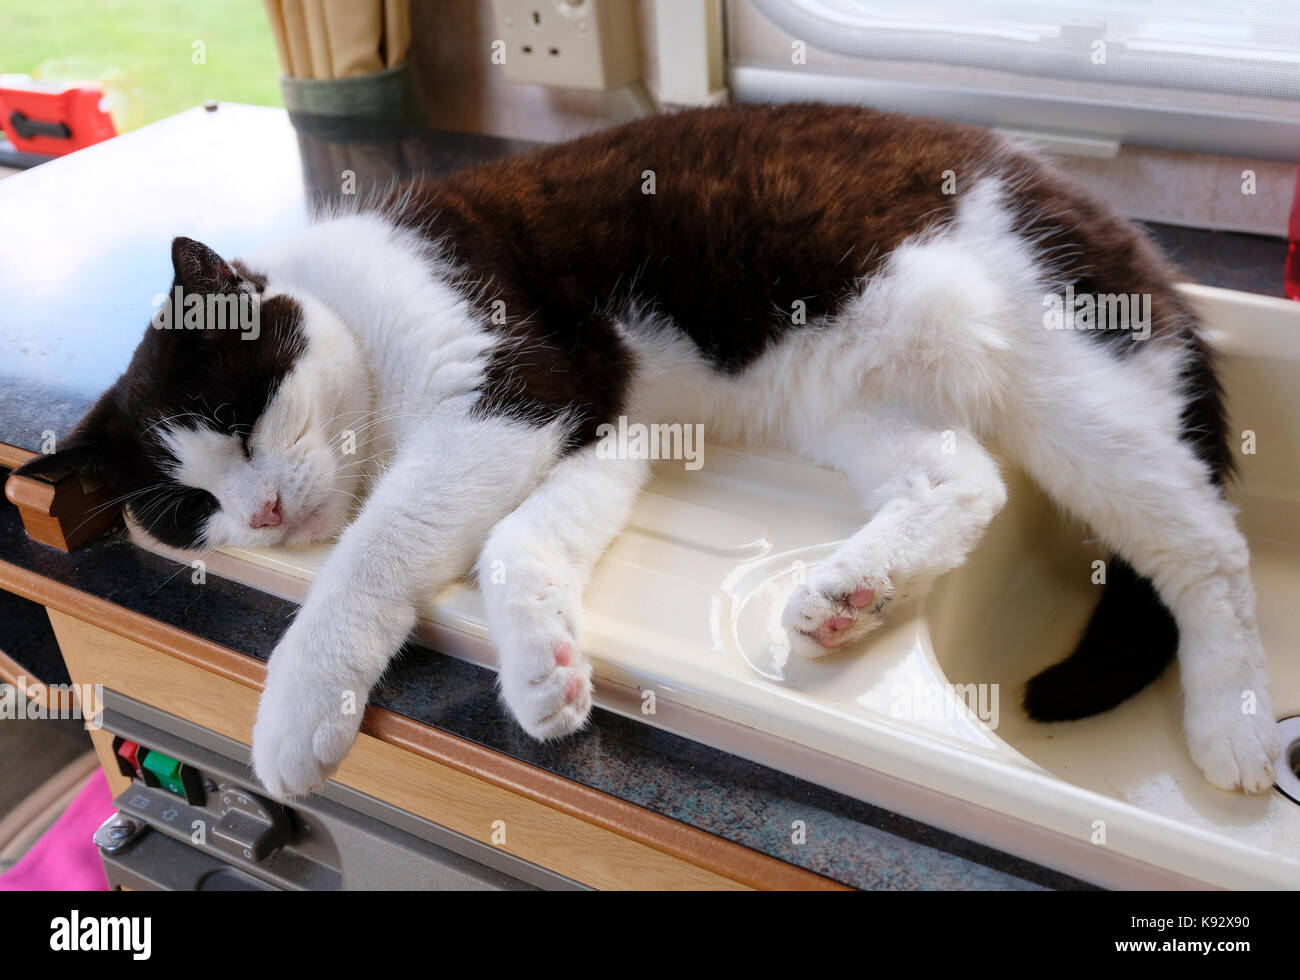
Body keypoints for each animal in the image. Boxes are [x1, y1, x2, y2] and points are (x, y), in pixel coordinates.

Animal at [20, 103, 1279, 795]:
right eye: (190, 508)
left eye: (240, 422)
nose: (264, 517)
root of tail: (1109, 223)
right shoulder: (597, 422)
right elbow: (517, 544)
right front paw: (542, 671)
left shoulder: (514, 390)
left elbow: (371, 557)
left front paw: (294, 712)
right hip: (850, 388)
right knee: (961, 480)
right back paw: (850, 592)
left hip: (1055, 375)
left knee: (1209, 551)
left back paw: (1233, 723)